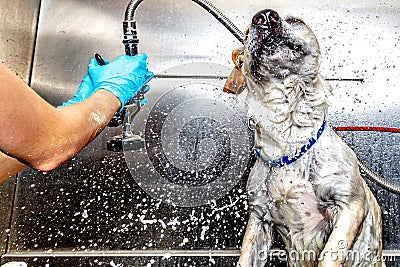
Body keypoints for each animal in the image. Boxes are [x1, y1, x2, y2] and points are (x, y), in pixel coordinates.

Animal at [225, 8, 384, 267]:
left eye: (296, 21)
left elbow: (329, 256)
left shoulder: (349, 205)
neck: (289, 140)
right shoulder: (259, 218)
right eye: (247, 32)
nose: (265, 16)